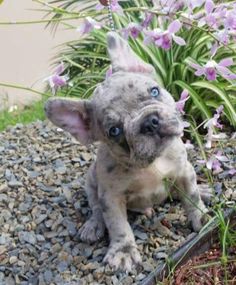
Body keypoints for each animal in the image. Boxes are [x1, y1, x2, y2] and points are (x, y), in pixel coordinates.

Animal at [45, 30, 209, 270]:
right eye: (114, 130)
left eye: (154, 91)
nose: (150, 122)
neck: (151, 162)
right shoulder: (111, 198)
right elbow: (118, 225)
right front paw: (123, 251)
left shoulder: (184, 172)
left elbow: (192, 197)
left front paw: (202, 217)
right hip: (91, 183)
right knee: (96, 209)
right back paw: (92, 226)